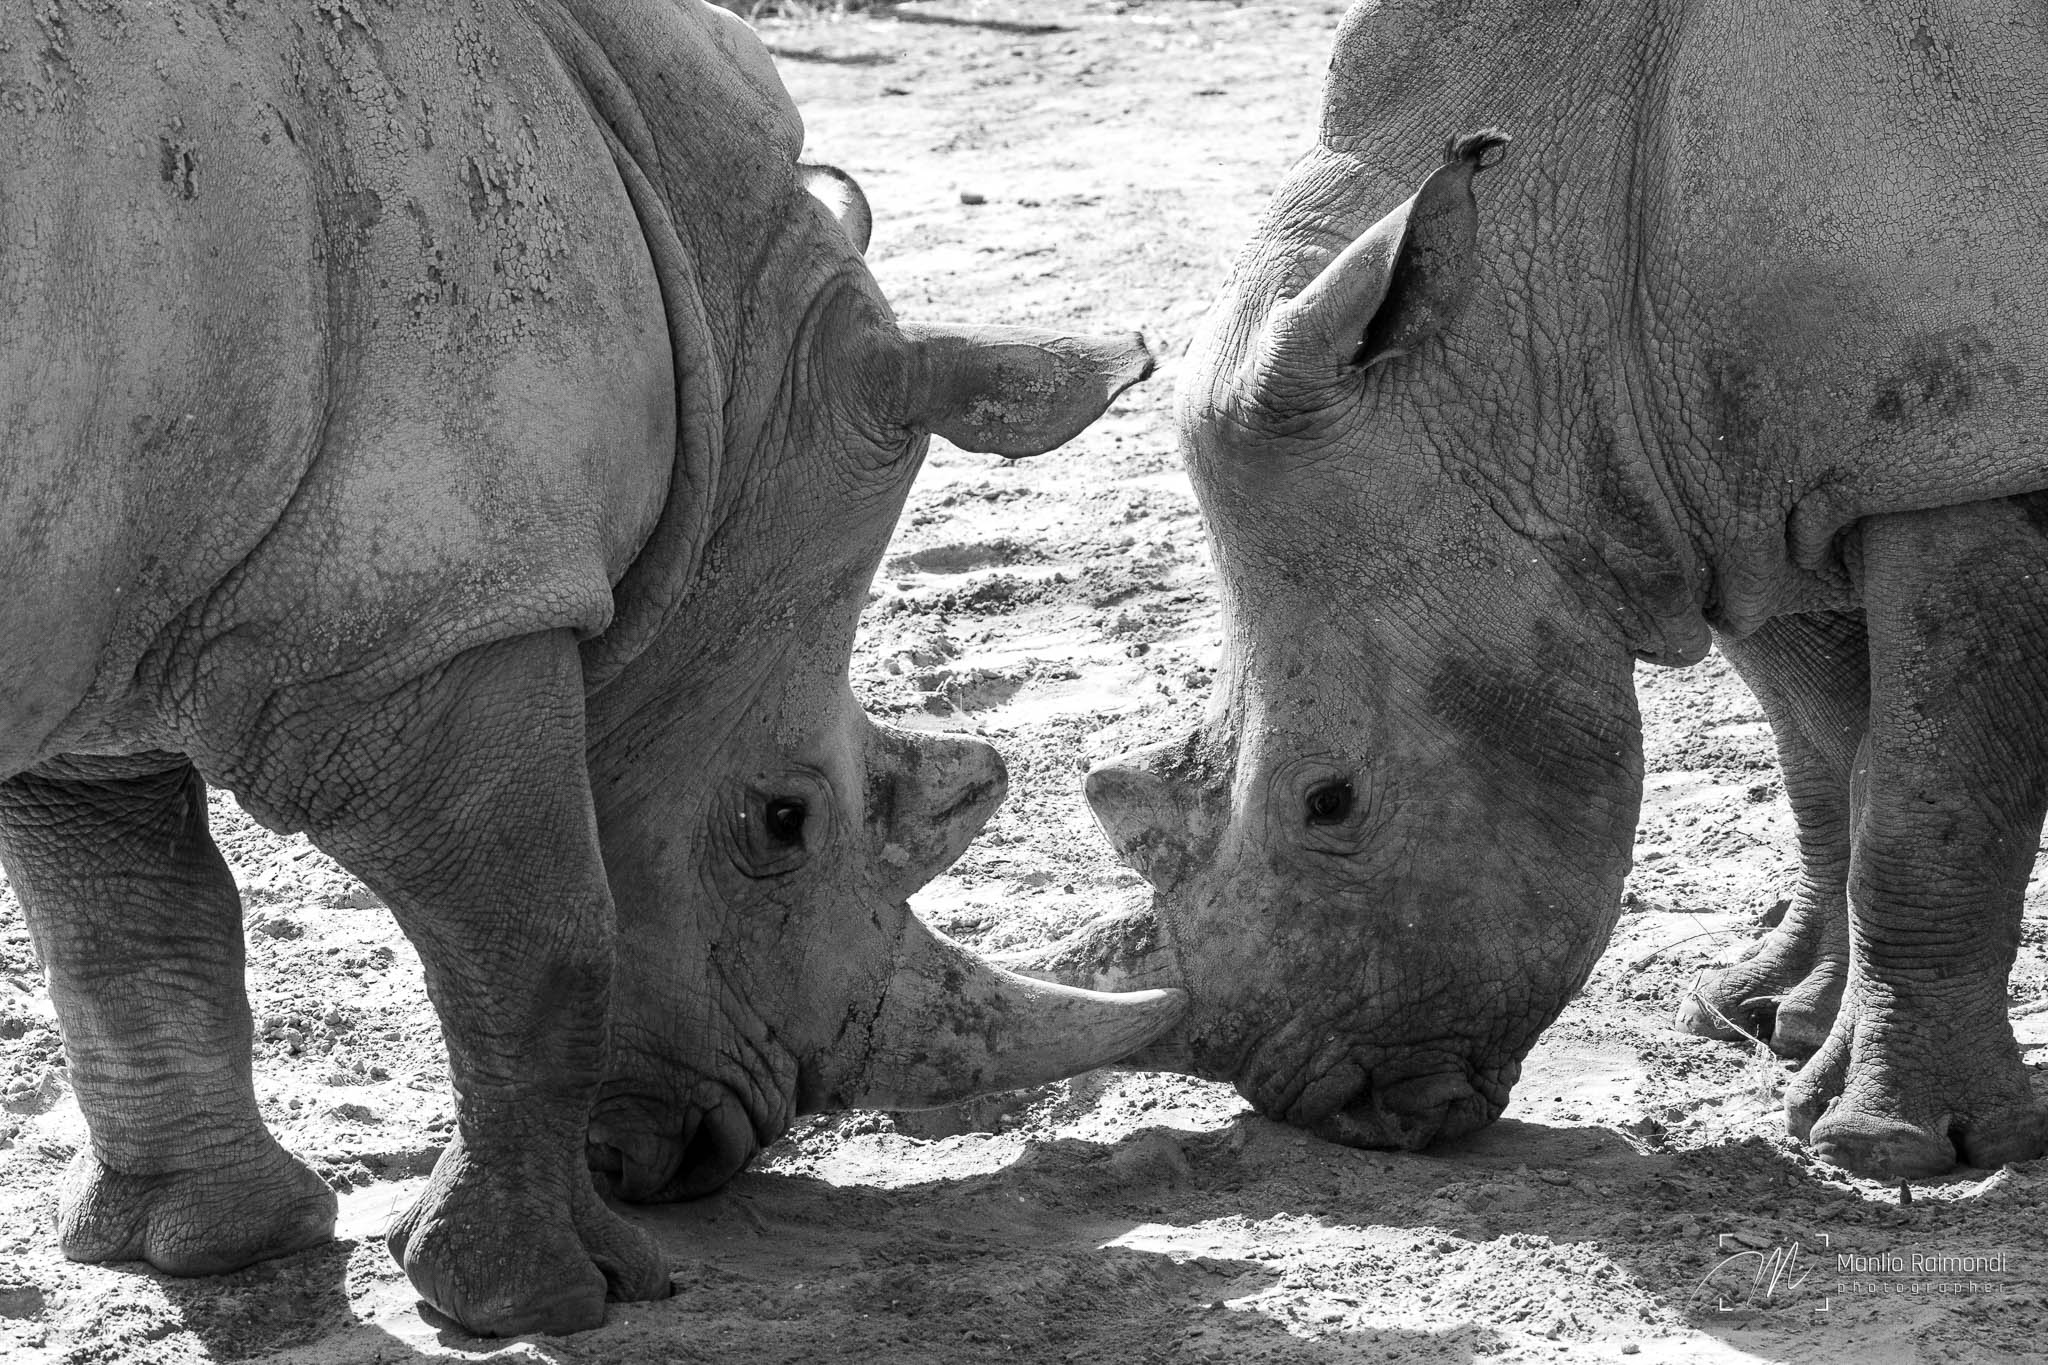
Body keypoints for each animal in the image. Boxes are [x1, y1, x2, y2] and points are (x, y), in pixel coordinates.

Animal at [0, 0, 1180, 1337]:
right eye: (781, 822)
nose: (684, 1158)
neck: (719, 325)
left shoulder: (115, 600)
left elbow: (127, 919)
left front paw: (212, 1246)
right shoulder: (441, 614)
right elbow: (544, 930)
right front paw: (559, 1296)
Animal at [1028, 0, 2048, 1181]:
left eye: (1329, 803)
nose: (1330, 1110)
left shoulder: (1953, 457)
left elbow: (1925, 806)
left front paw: (1892, 1147)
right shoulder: (1742, 478)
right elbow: (1832, 754)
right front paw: (1770, 1021)